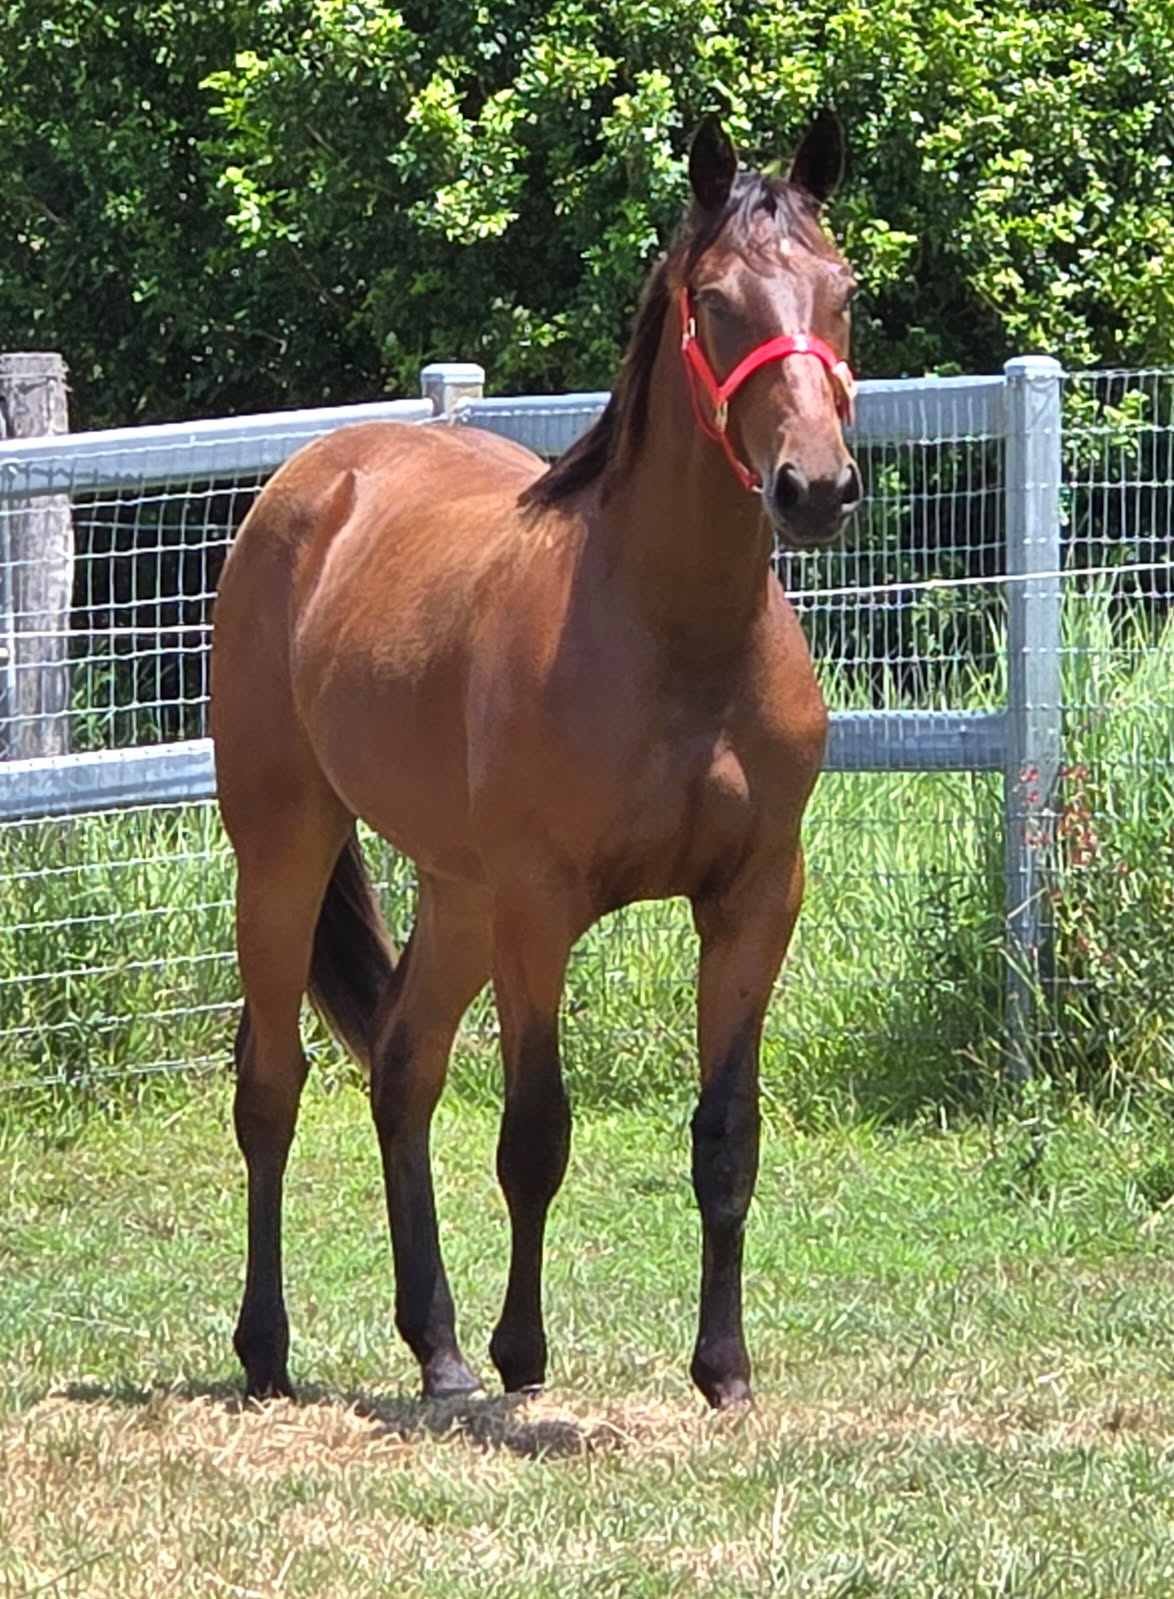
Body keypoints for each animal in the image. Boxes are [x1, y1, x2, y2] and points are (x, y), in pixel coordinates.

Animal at [210, 110, 861, 1411]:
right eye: (717, 301)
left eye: (842, 290)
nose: (813, 489)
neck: (674, 635)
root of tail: (316, 480)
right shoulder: (540, 907)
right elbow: (535, 1139)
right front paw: (526, 1359)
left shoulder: (756, 897)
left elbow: (727, 1139)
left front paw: (722, 1371)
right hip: (286, 848)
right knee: (272, 1085)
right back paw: (270, 1352)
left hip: (456, 891)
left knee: (402, 1067)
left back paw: (437, 1349)